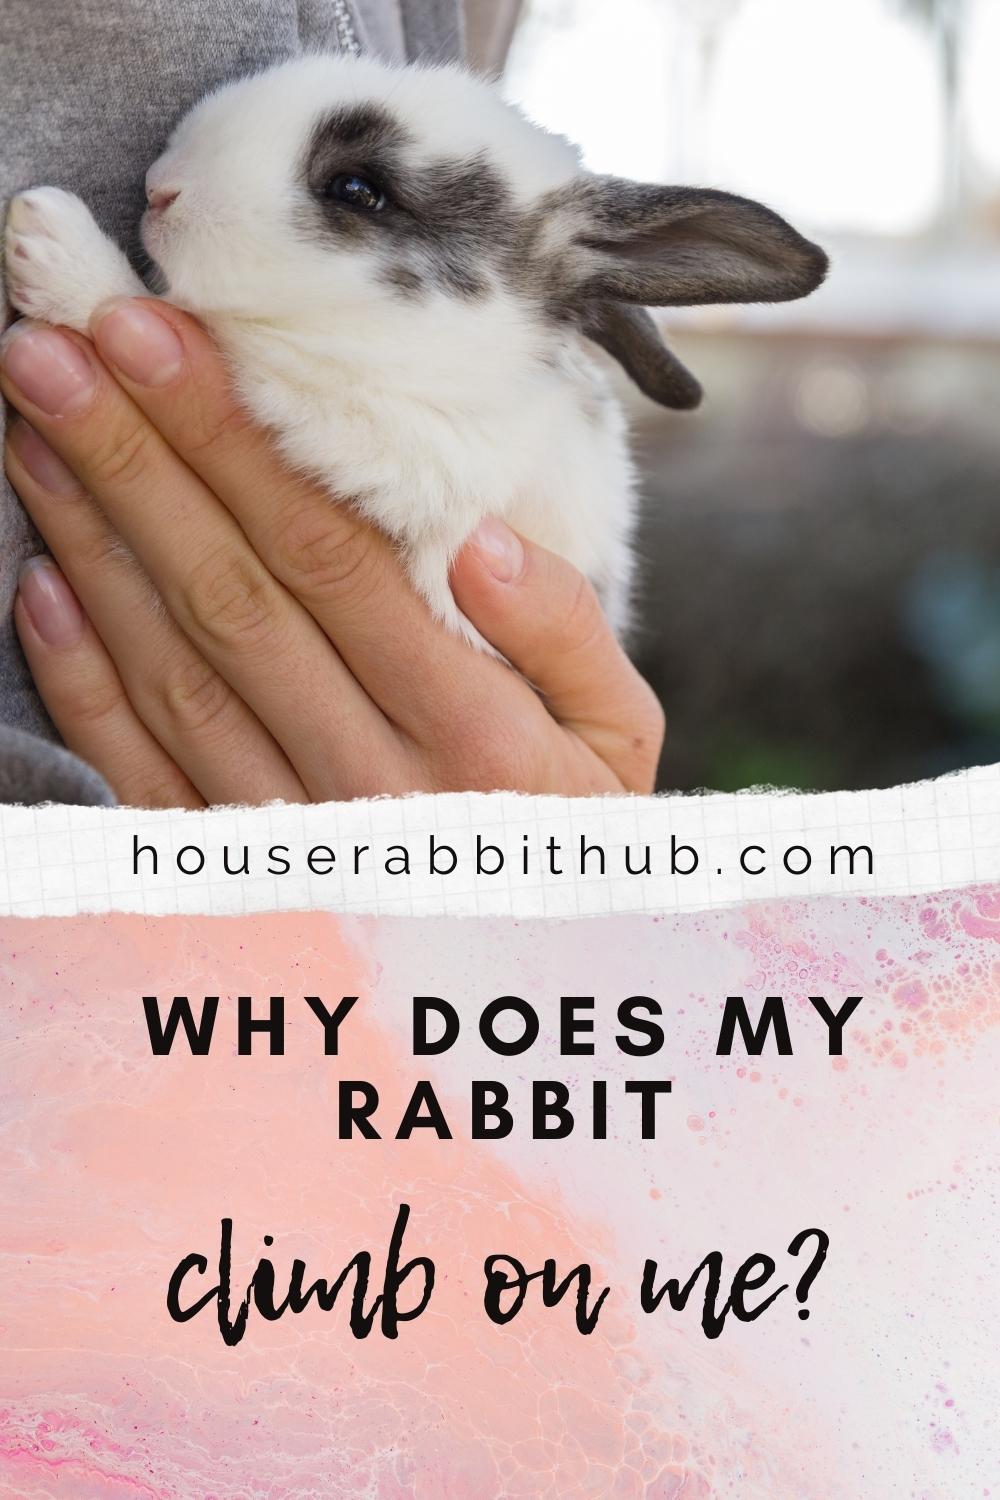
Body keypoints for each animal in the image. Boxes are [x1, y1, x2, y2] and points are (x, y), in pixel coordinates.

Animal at [4, 53, 828, 648]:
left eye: (356, 189)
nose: (160, 187)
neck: (423, 364)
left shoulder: (368, 444)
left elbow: (189, 329)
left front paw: (51, 243)